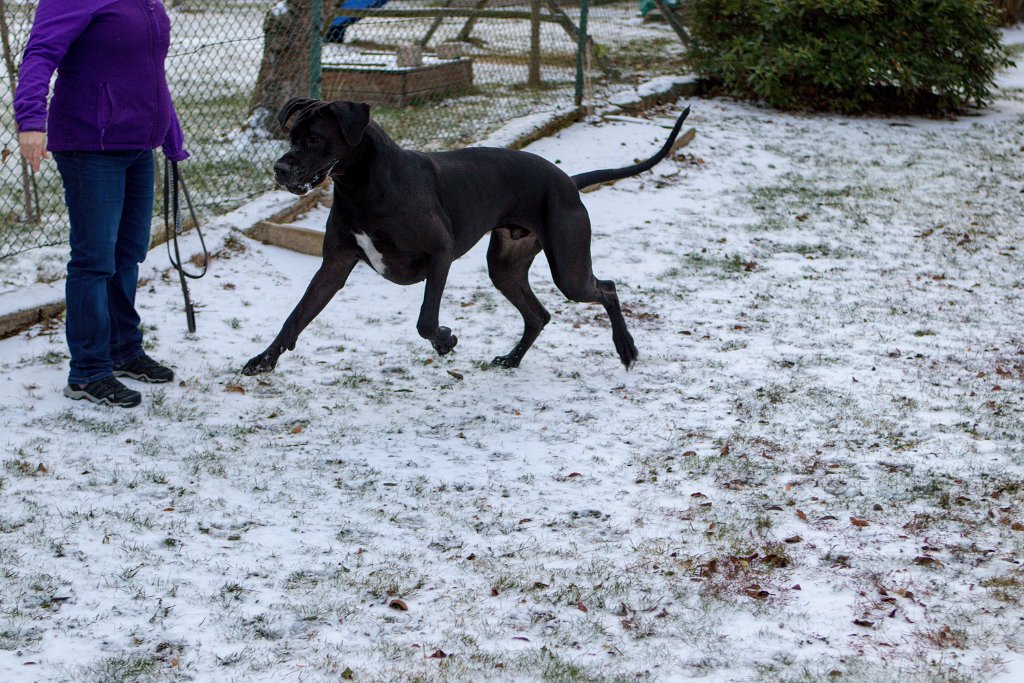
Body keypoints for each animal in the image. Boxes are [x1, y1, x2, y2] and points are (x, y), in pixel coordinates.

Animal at [241, 99, 688, 376]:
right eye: (291, 137)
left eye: (315, 138)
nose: (280, 168)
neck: (363, 186)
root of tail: (568, 182)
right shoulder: (334, 265)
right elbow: (296, 316)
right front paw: (264, 360)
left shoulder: (440, 254)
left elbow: (425, 320)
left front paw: (445, 341)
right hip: (505, 268)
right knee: (538, 315)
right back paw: (511, 360)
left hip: (569, 269)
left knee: (606, 287)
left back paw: (626, 349)